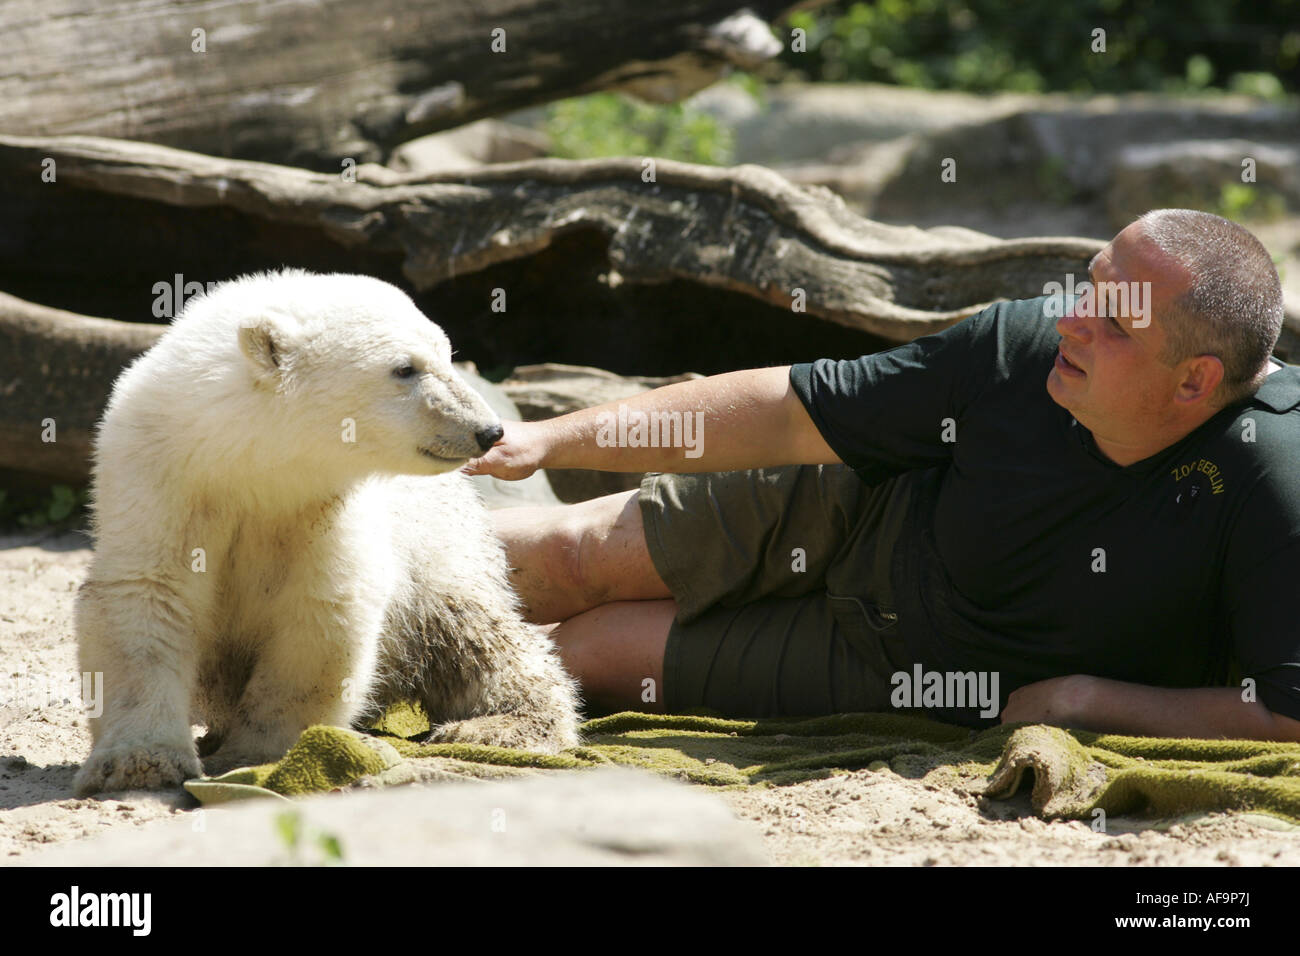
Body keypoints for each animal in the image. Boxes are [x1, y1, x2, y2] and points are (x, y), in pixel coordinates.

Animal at [71, 265, 579, 796]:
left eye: (447, 353)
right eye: (405, 368)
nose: (488, 431)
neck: (247, 462)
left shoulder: (326, 506)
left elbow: (321, 608)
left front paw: (266, 752)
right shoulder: (161, 476)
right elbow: (147, 595)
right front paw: (138, 762)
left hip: (442, 546)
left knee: (475, 635)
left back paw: (500, 725)